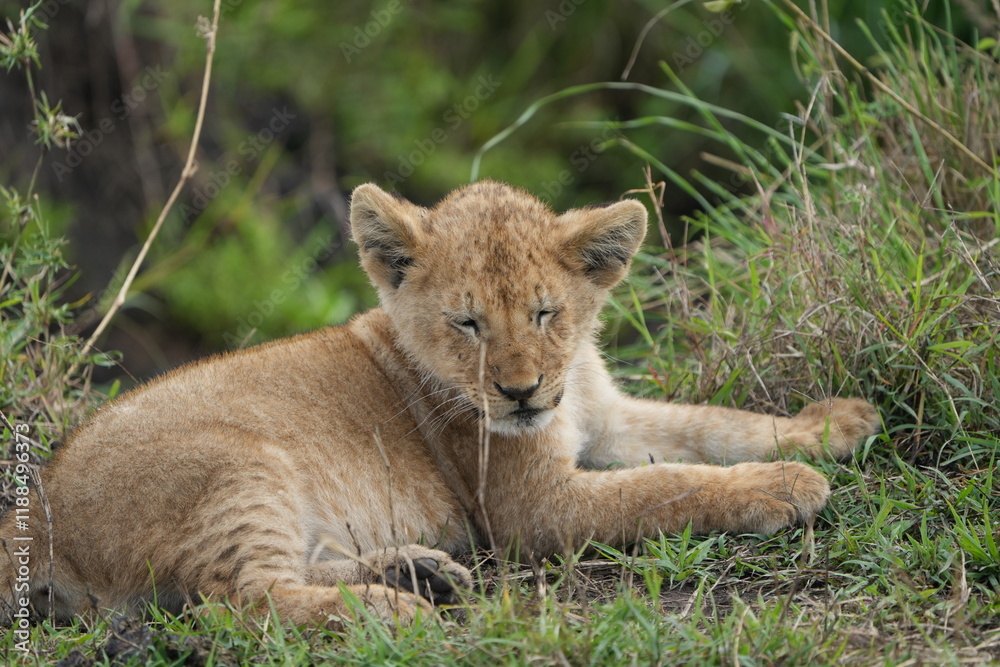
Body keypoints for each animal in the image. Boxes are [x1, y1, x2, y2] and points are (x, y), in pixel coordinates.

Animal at [0, 180, 879, 629]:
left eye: (544, 312)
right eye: (467, 324)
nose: (520, 391)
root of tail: (37, 506)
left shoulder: (609, 416)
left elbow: (711, 425)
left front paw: (834, 425)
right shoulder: (533, 507)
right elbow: (667, 485)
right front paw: (785, 486)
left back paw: (420, 571)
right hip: (236, 466)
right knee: (241, 600)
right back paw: (393, 609)